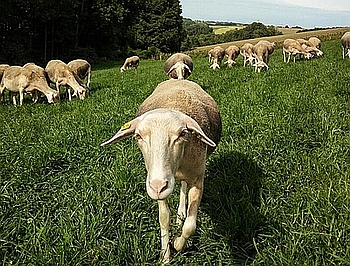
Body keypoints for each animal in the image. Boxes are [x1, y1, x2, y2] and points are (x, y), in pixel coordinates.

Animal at [101, 78, 221, 262]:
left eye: (182, 133)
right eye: (138, 136)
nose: (158, 187)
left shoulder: (198, 179)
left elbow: (190, 226)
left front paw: (177, 243)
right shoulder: (156, 181)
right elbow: (164, 218)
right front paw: (165, 256)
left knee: (183, 188)